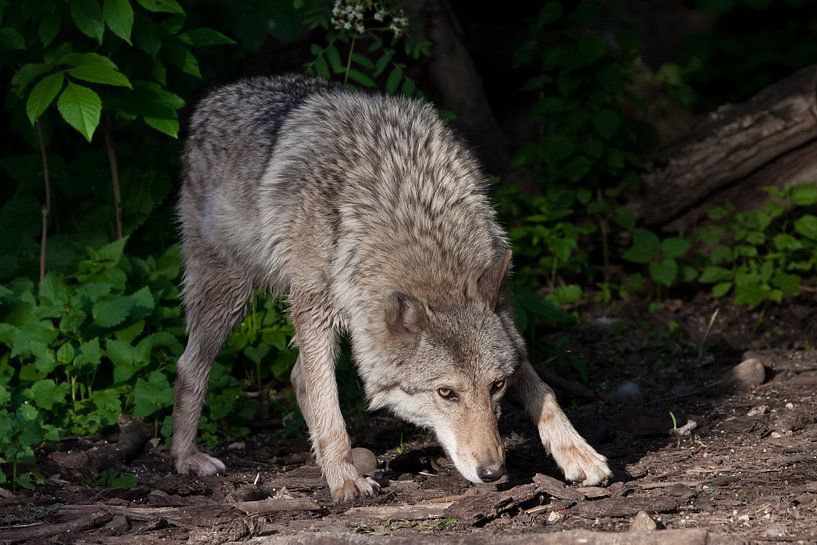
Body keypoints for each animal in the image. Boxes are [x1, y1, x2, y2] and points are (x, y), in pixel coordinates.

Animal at [171, 74, 612, 502]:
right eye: (446, 393)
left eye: (497, 385)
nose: (493, 471)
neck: (413, 208)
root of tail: (214, 97)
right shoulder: (313, 310)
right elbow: (330, 410)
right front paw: (344, 482)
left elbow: (542, 389)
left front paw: (577, 453)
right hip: (229, 297)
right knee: (190, 367)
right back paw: (187, 458)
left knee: (297, 376)